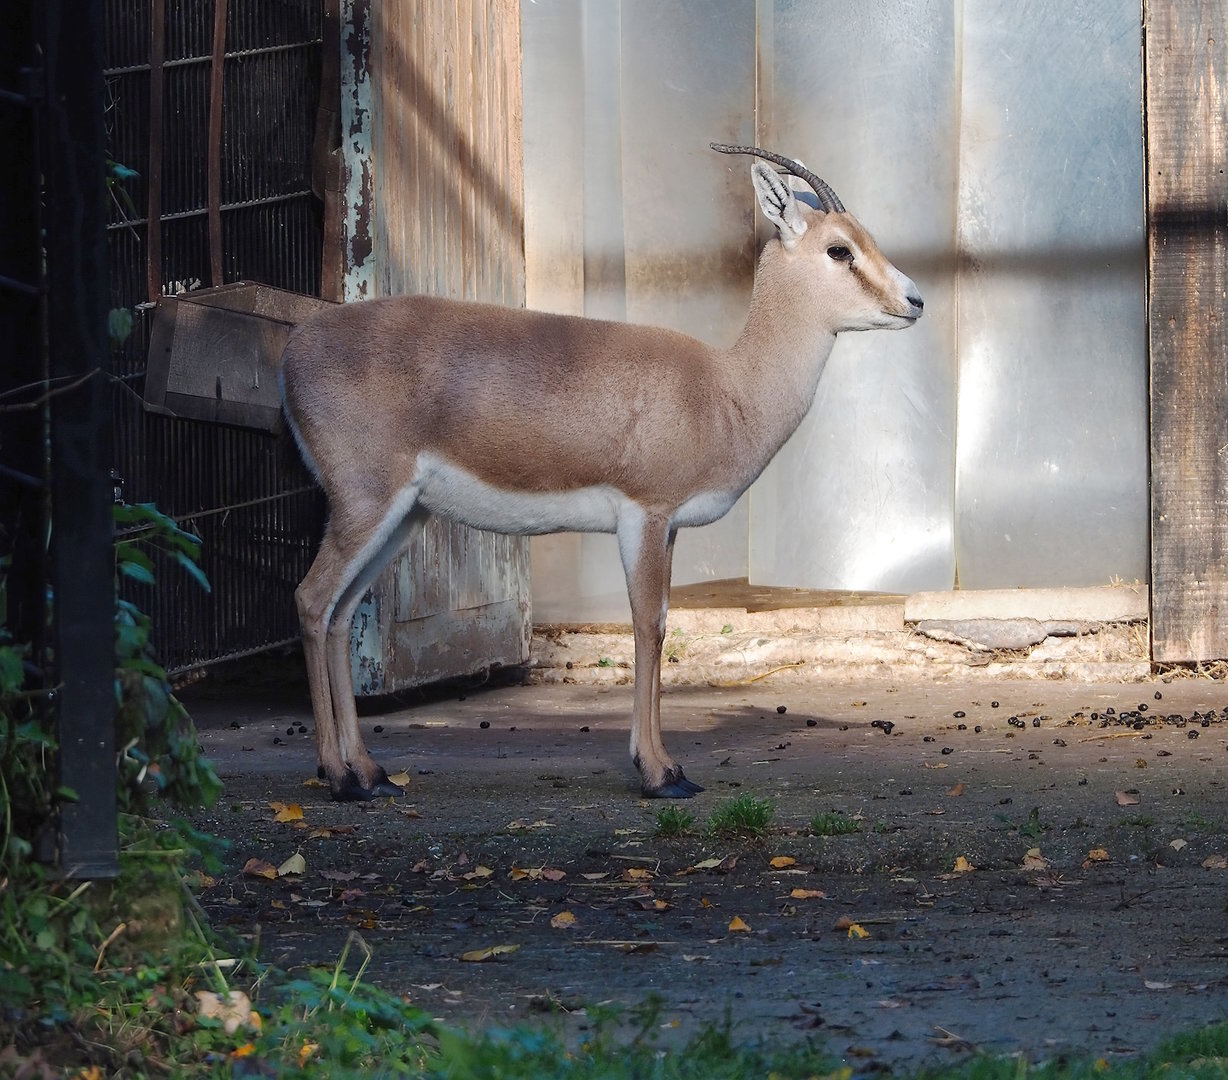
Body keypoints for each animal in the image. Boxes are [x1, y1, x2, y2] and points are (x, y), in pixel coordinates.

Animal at [280, 143, 923, 802]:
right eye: (839, 249)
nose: (915, 300)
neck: (725, 390)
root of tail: (298, 344)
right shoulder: (645, 514)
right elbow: (648, 628)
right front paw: (661, 773)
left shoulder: (668, 527)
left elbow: (659, 623)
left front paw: (665, 766)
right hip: (367, 506)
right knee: (311, 600)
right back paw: (337, 775)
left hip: (404, 517)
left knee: (340, 614)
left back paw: (370, 773)